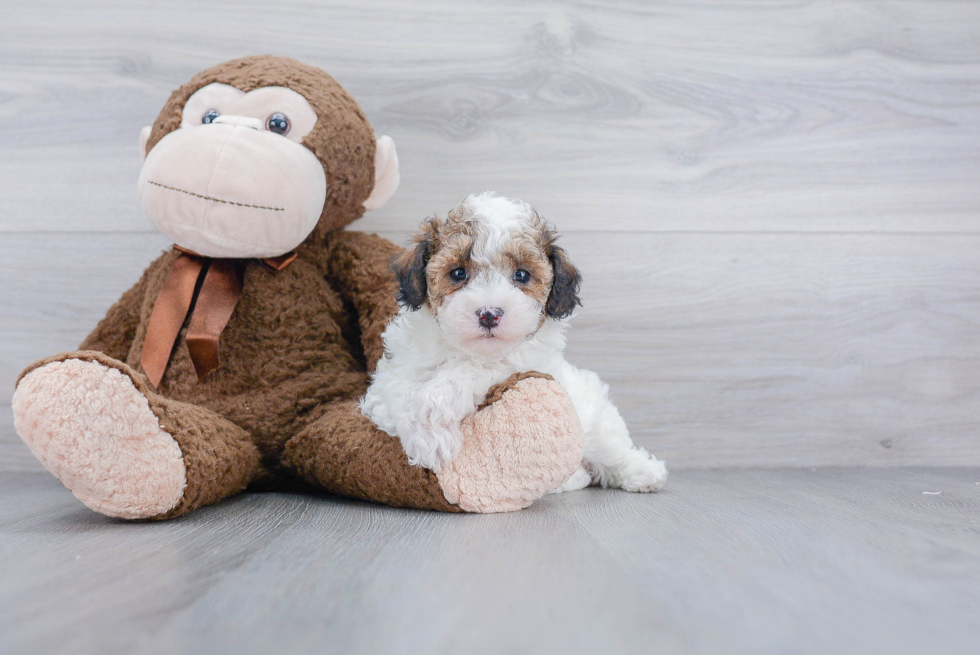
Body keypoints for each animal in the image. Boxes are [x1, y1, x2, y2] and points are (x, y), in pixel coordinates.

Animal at [364, 192, 668, 494]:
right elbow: (399, 394)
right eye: (458, 273)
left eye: (522, 275)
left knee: (612, 451)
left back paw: (645, 473)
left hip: (596, 419)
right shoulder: (393, 375)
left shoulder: (523, 366)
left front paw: (438, 401)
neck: (466, 350)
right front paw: (430, 439)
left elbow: (478, 371)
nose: (489, 314)